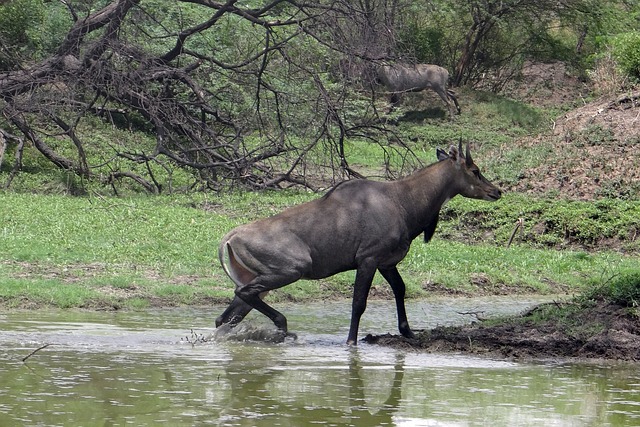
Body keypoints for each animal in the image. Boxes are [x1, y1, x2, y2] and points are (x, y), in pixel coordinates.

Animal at [218, 142, 502, 346]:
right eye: (475, 171)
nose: (497, 191)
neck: (404, 202)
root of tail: (229, 238)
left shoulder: (387, 263)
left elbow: (400, 289)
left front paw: (409, 333)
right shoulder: (368, 259)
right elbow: (359, 302)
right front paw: (351, 341)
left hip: (258, 276)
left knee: (227, 315)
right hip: (291, 269)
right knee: (242, 295)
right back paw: (283, 326)